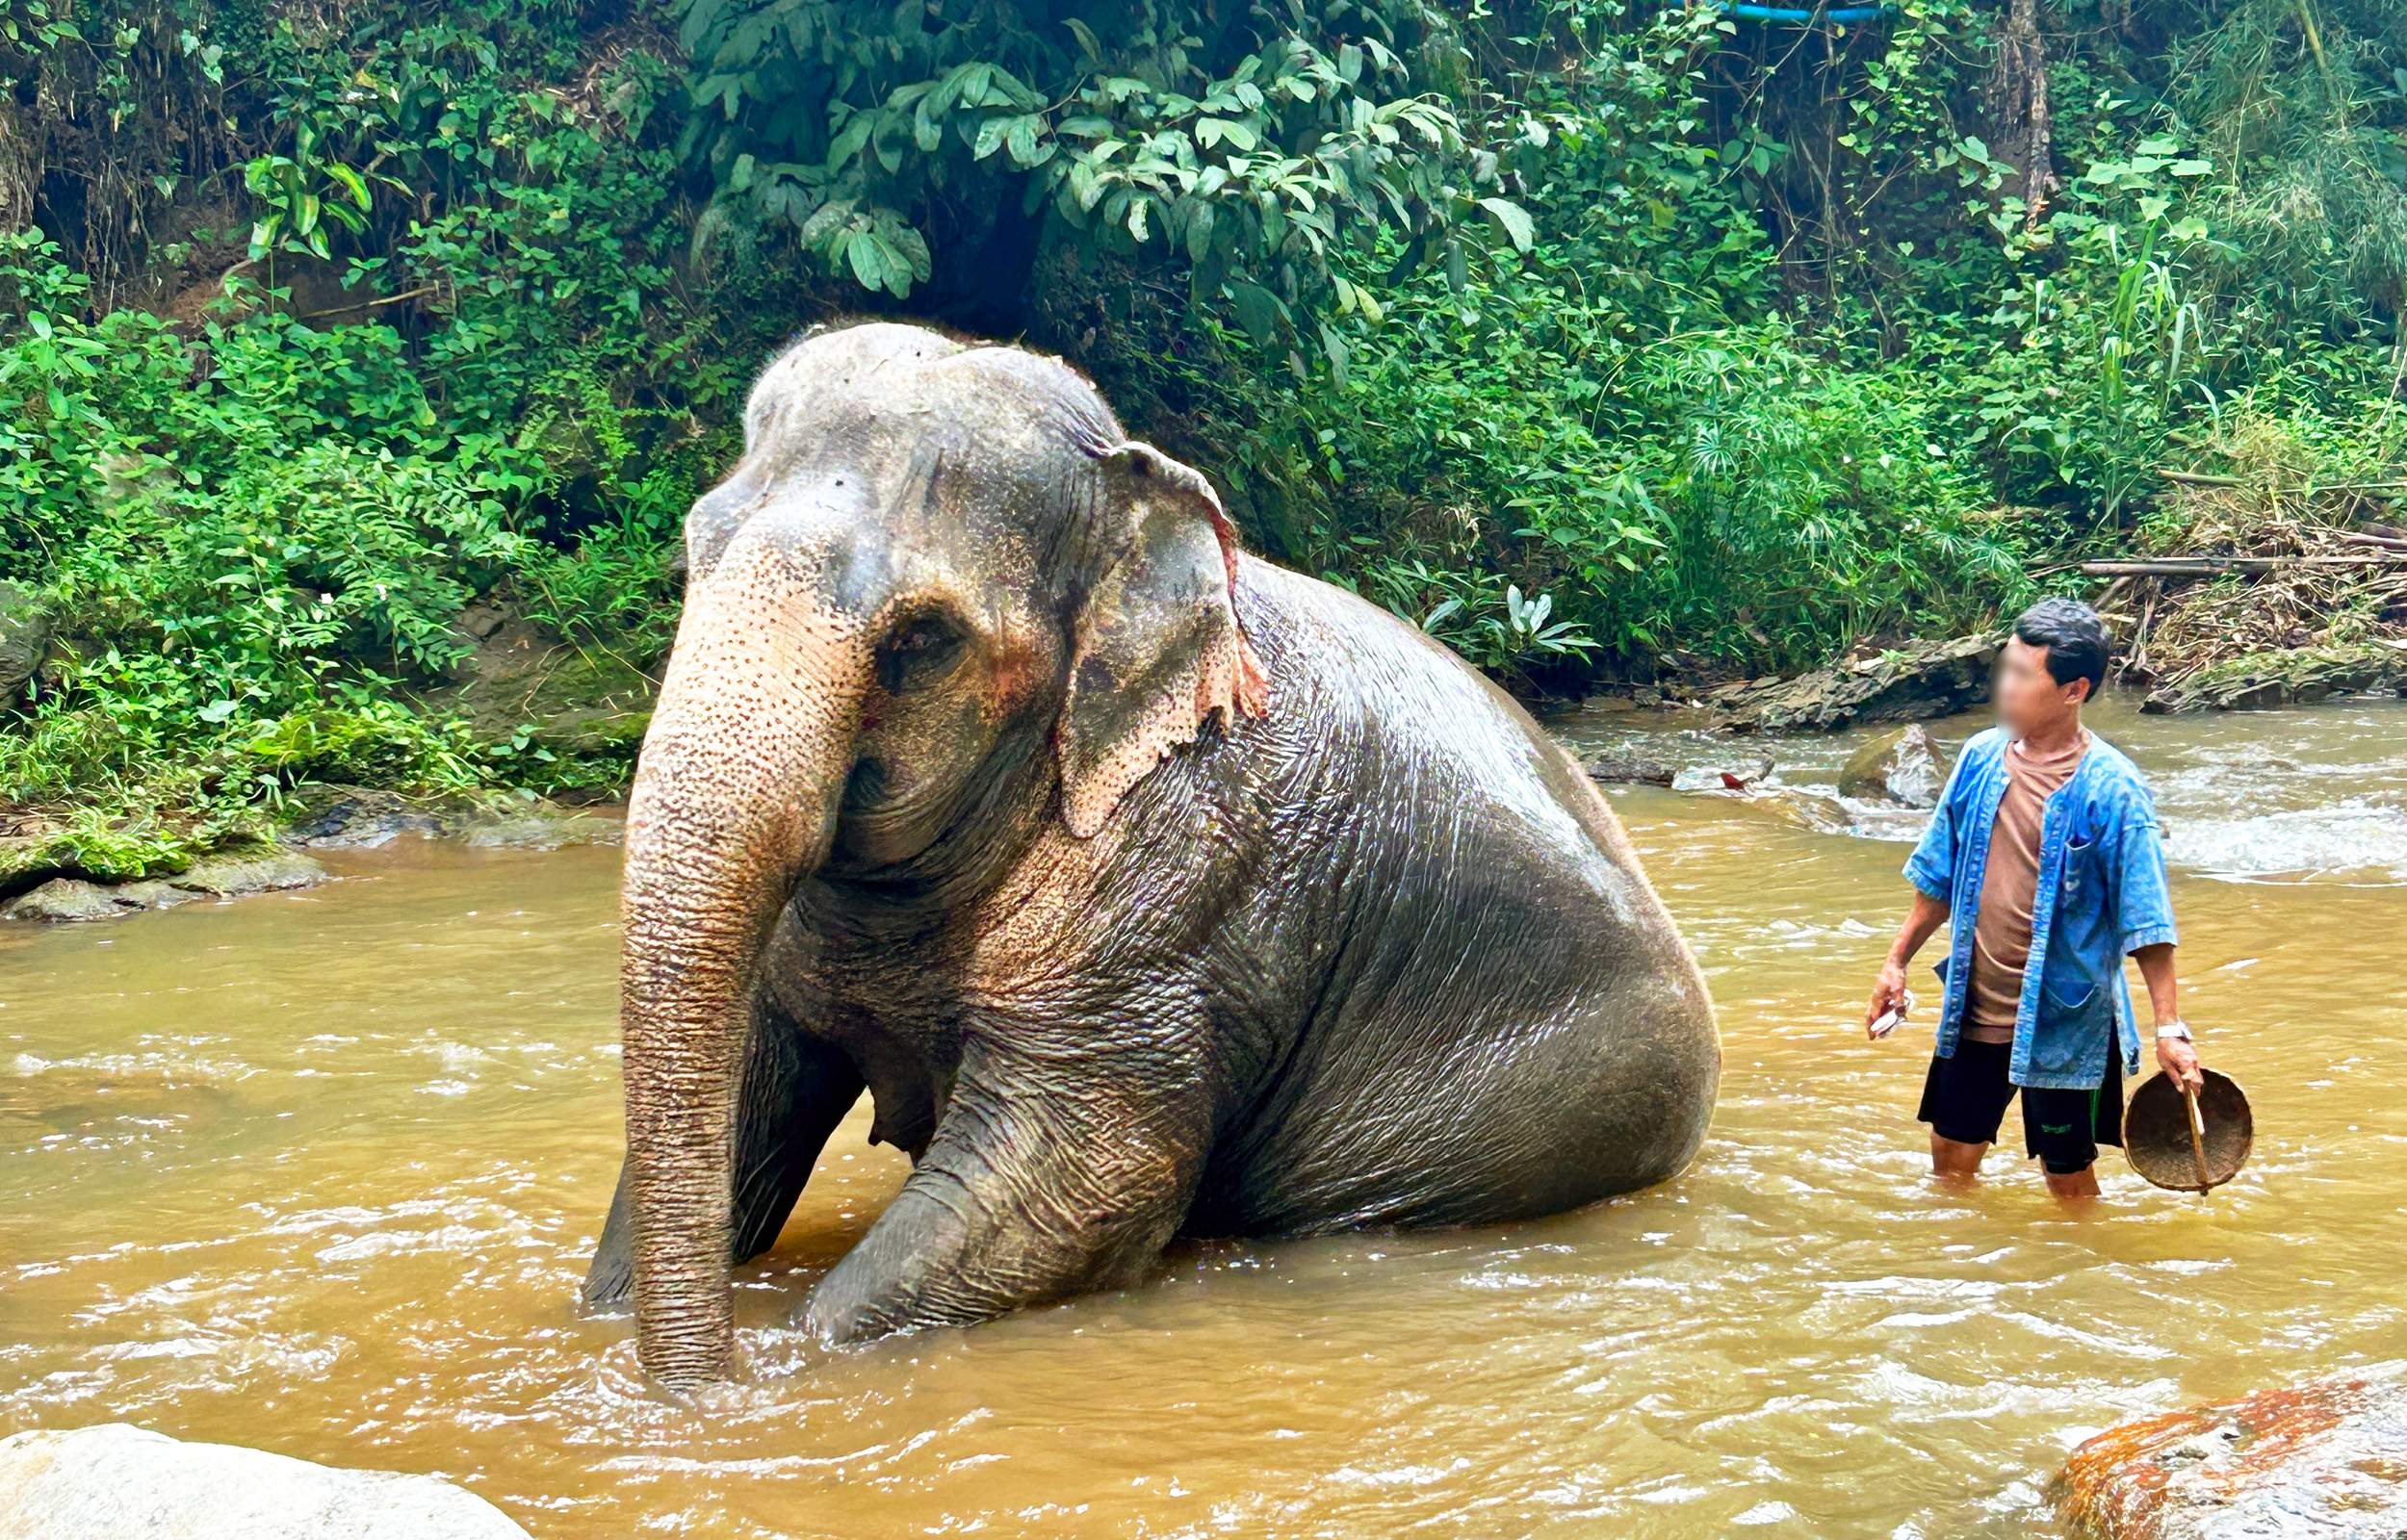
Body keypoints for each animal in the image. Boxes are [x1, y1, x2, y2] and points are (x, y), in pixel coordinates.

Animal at [580, 322, 1714, 1386]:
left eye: (922, 641)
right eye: (688, 563)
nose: (715, 1387)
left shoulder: (1187, 881)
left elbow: (1086, 1180)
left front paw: (801, 1365)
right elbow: (740, 1102)